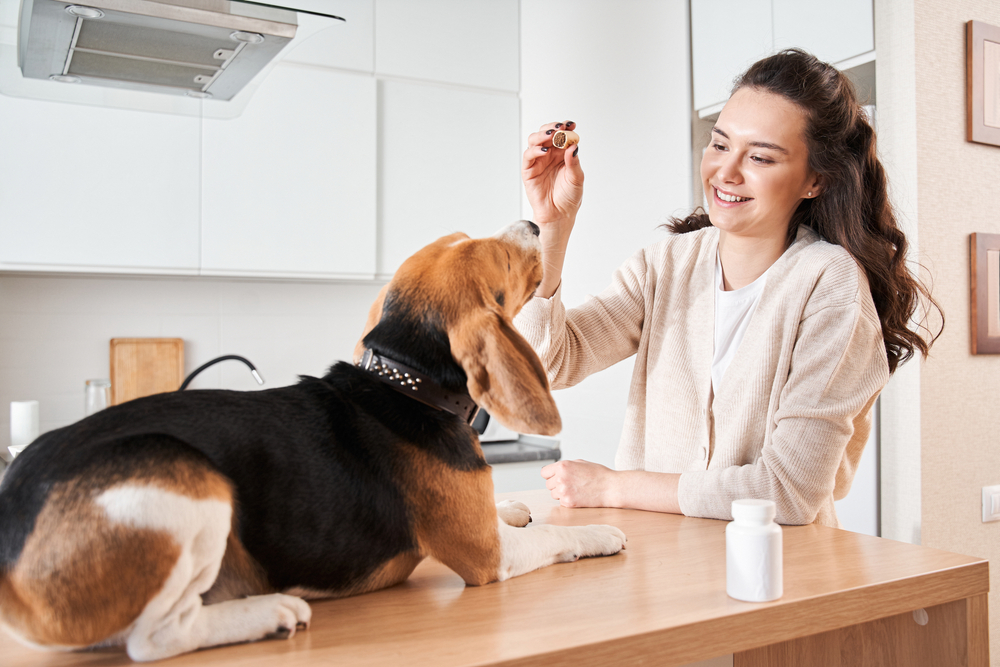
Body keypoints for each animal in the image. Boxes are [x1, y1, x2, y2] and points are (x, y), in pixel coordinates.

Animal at [0, 222, 624, 660]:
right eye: (499, 257)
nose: (534, 224)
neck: (401, 382)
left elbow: (507, 512)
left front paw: (513, 504)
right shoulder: (488, 557)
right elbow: (553, 537)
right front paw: (598, 532)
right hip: (188, 479)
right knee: (154, 639)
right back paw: (269, 612)